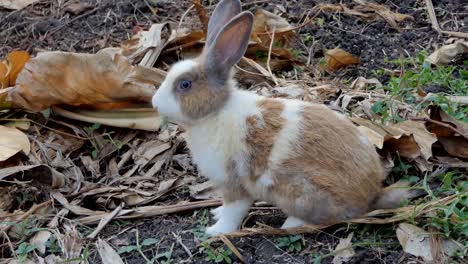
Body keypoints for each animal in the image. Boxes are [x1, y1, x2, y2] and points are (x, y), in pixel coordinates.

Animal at [153, 0, 406, 236]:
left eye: (185, 84)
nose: (155, 103)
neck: (216, 112)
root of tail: (371, 195)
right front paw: (216, 212)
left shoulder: (234, 184)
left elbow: (234, 211)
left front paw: (215, 231)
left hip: (300, 192)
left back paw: (289, 224)